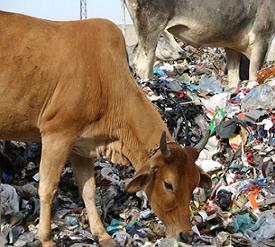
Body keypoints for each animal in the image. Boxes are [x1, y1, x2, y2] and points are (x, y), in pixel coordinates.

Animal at [0, 11, 211, 247]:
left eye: (194, 184)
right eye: (168, 184)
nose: (186, 235)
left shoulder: (81, 145)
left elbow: (89, 190)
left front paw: (101, 234)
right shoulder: (57, 134)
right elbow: (47, 187)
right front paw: (45, 238)